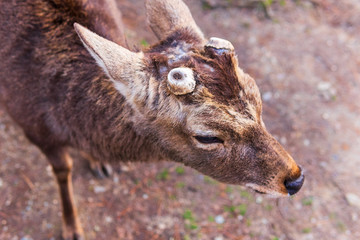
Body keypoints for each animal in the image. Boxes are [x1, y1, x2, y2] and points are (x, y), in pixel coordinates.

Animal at [0, 0, 306, 239]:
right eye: (207, 136)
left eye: (258, 99)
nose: (295, 179)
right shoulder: (32, 126)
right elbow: (63, 170)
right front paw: (72, 229)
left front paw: (99, 162)